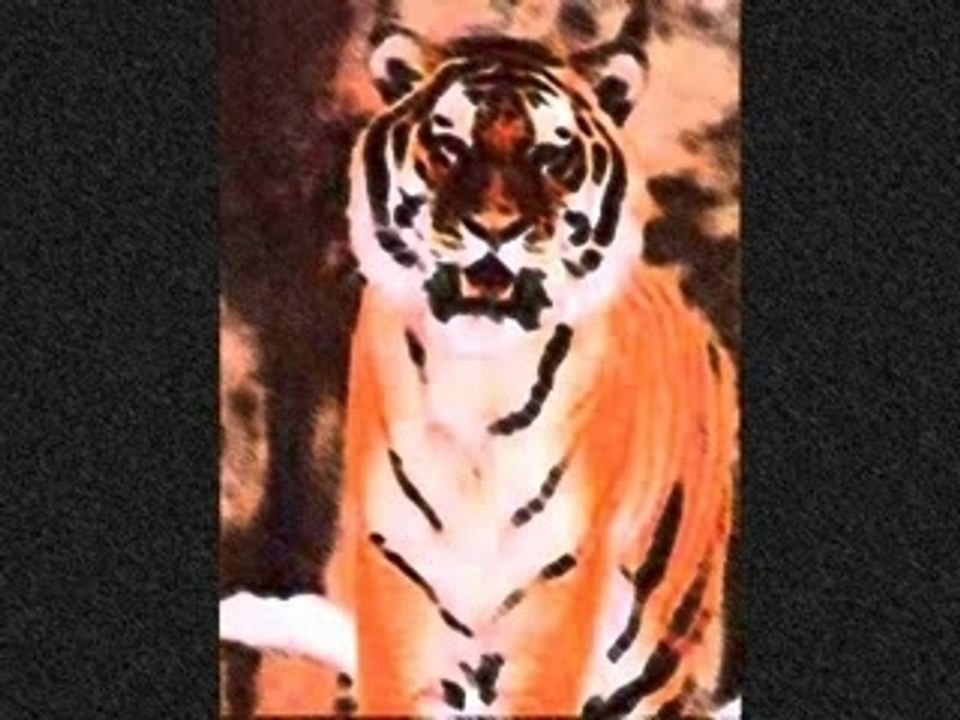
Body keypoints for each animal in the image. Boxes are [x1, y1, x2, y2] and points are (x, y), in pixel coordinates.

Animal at [220, 0, 740, 716]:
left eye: (552, 156)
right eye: (449, 146)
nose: (495, 227)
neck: (480, 384)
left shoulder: (558, 594)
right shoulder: (397, 581)